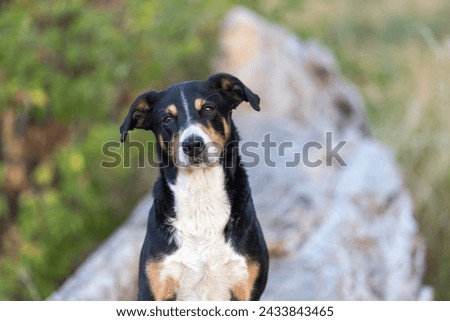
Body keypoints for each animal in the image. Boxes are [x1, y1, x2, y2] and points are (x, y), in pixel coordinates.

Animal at [118, 72, 268, 300]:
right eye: (167, 119)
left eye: (208, 109)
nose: (192, 145)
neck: (200, 193)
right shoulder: (154, 290)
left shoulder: (246, 289)